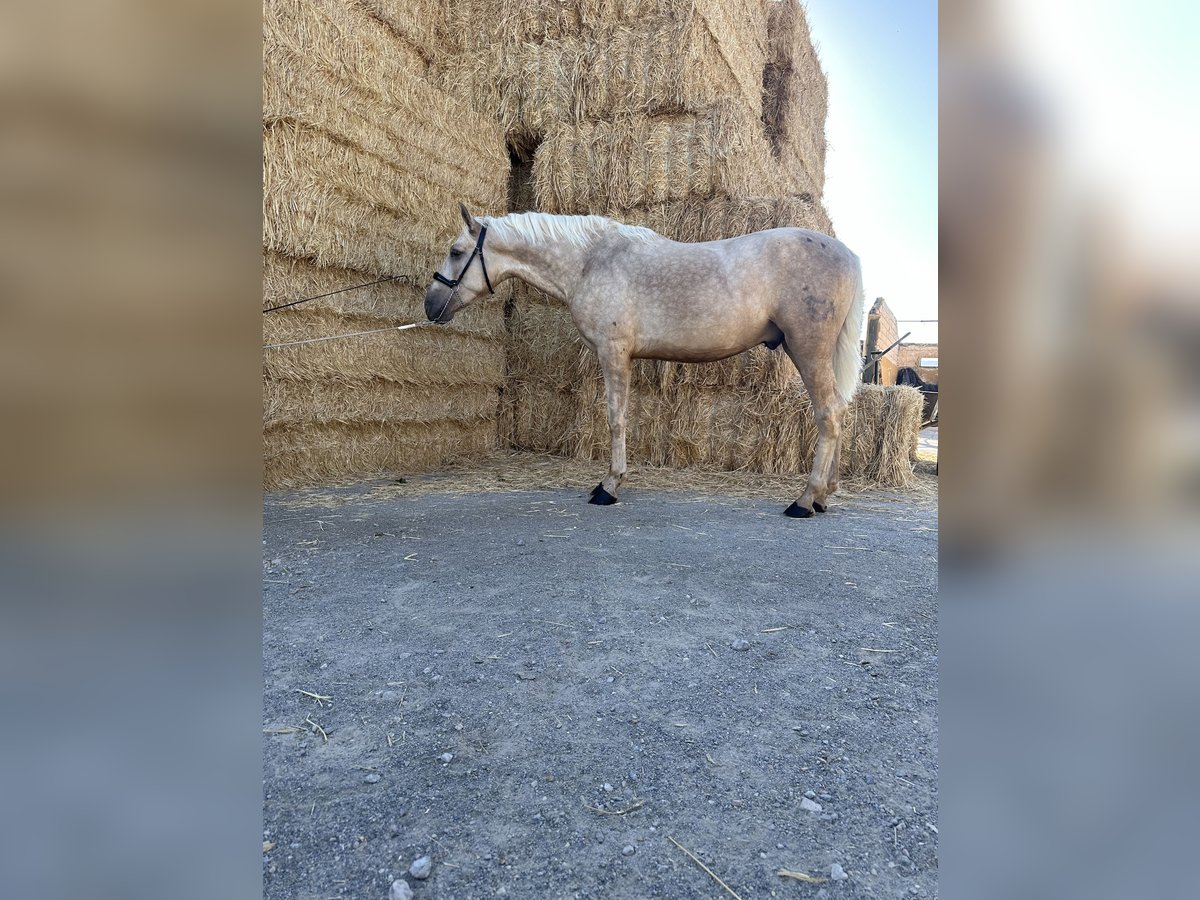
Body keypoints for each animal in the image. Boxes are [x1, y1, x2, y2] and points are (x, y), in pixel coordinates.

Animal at [424, 201, 864, 518]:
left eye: (456, 251)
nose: (430, 306)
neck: (589, 261)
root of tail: (847, 253)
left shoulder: (614, 351)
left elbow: (615, 419)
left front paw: (609, 486)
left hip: (808, 350)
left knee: (829, 416)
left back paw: (804, 501)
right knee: (839, 413)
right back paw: (823, 496)